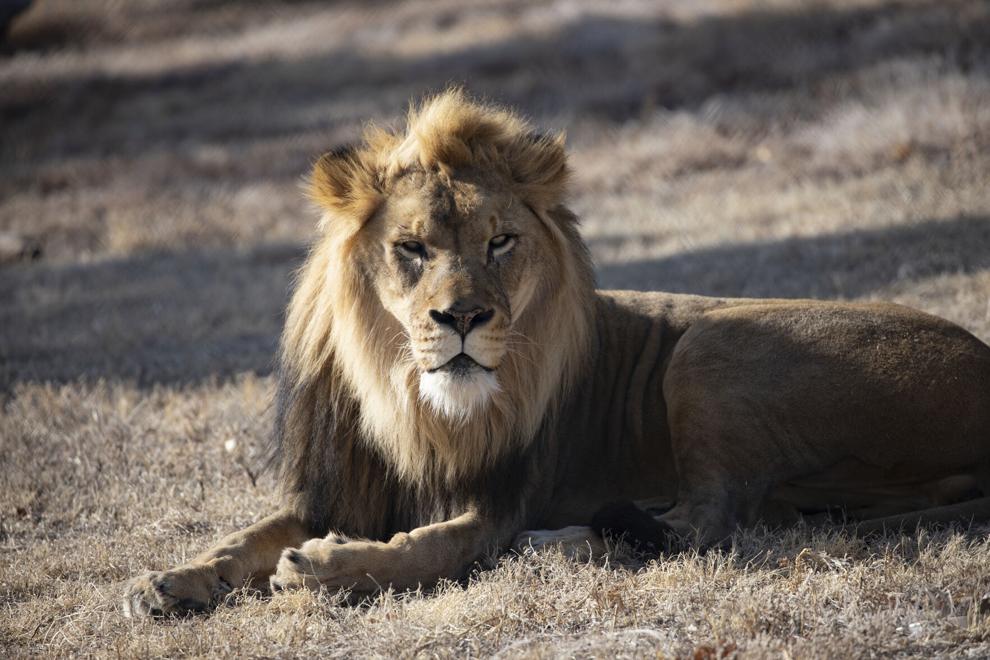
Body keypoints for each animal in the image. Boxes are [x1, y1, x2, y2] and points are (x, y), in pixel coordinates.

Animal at [124, 89, 990, 620]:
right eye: (412, 248)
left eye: (500, 242)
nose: (463, 316)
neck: (405, 401)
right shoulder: (331, 486)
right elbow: (246, 535)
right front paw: (164, 581)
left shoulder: (498, 499)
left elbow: (427, 549)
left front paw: (324, 569)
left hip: (714, 346)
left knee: (708, 522)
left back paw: (559, 545)